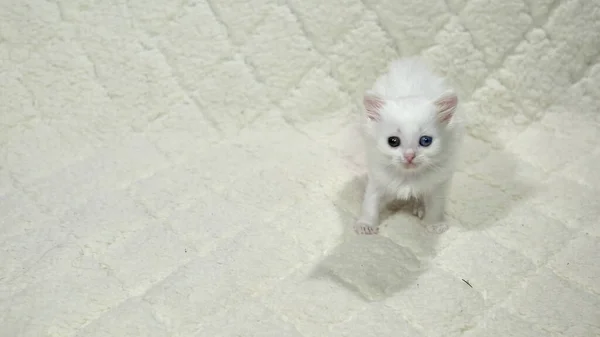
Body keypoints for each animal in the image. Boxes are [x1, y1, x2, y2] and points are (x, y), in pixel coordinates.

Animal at [356, 57, 464, 234]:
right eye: (393, 141)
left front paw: (435, 224)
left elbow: (436, 205)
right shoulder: (377, 178)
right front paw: (365, 225)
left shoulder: (439, 182)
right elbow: (370, 202)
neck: (408, 177)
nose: (409, 156)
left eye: (425, 141)